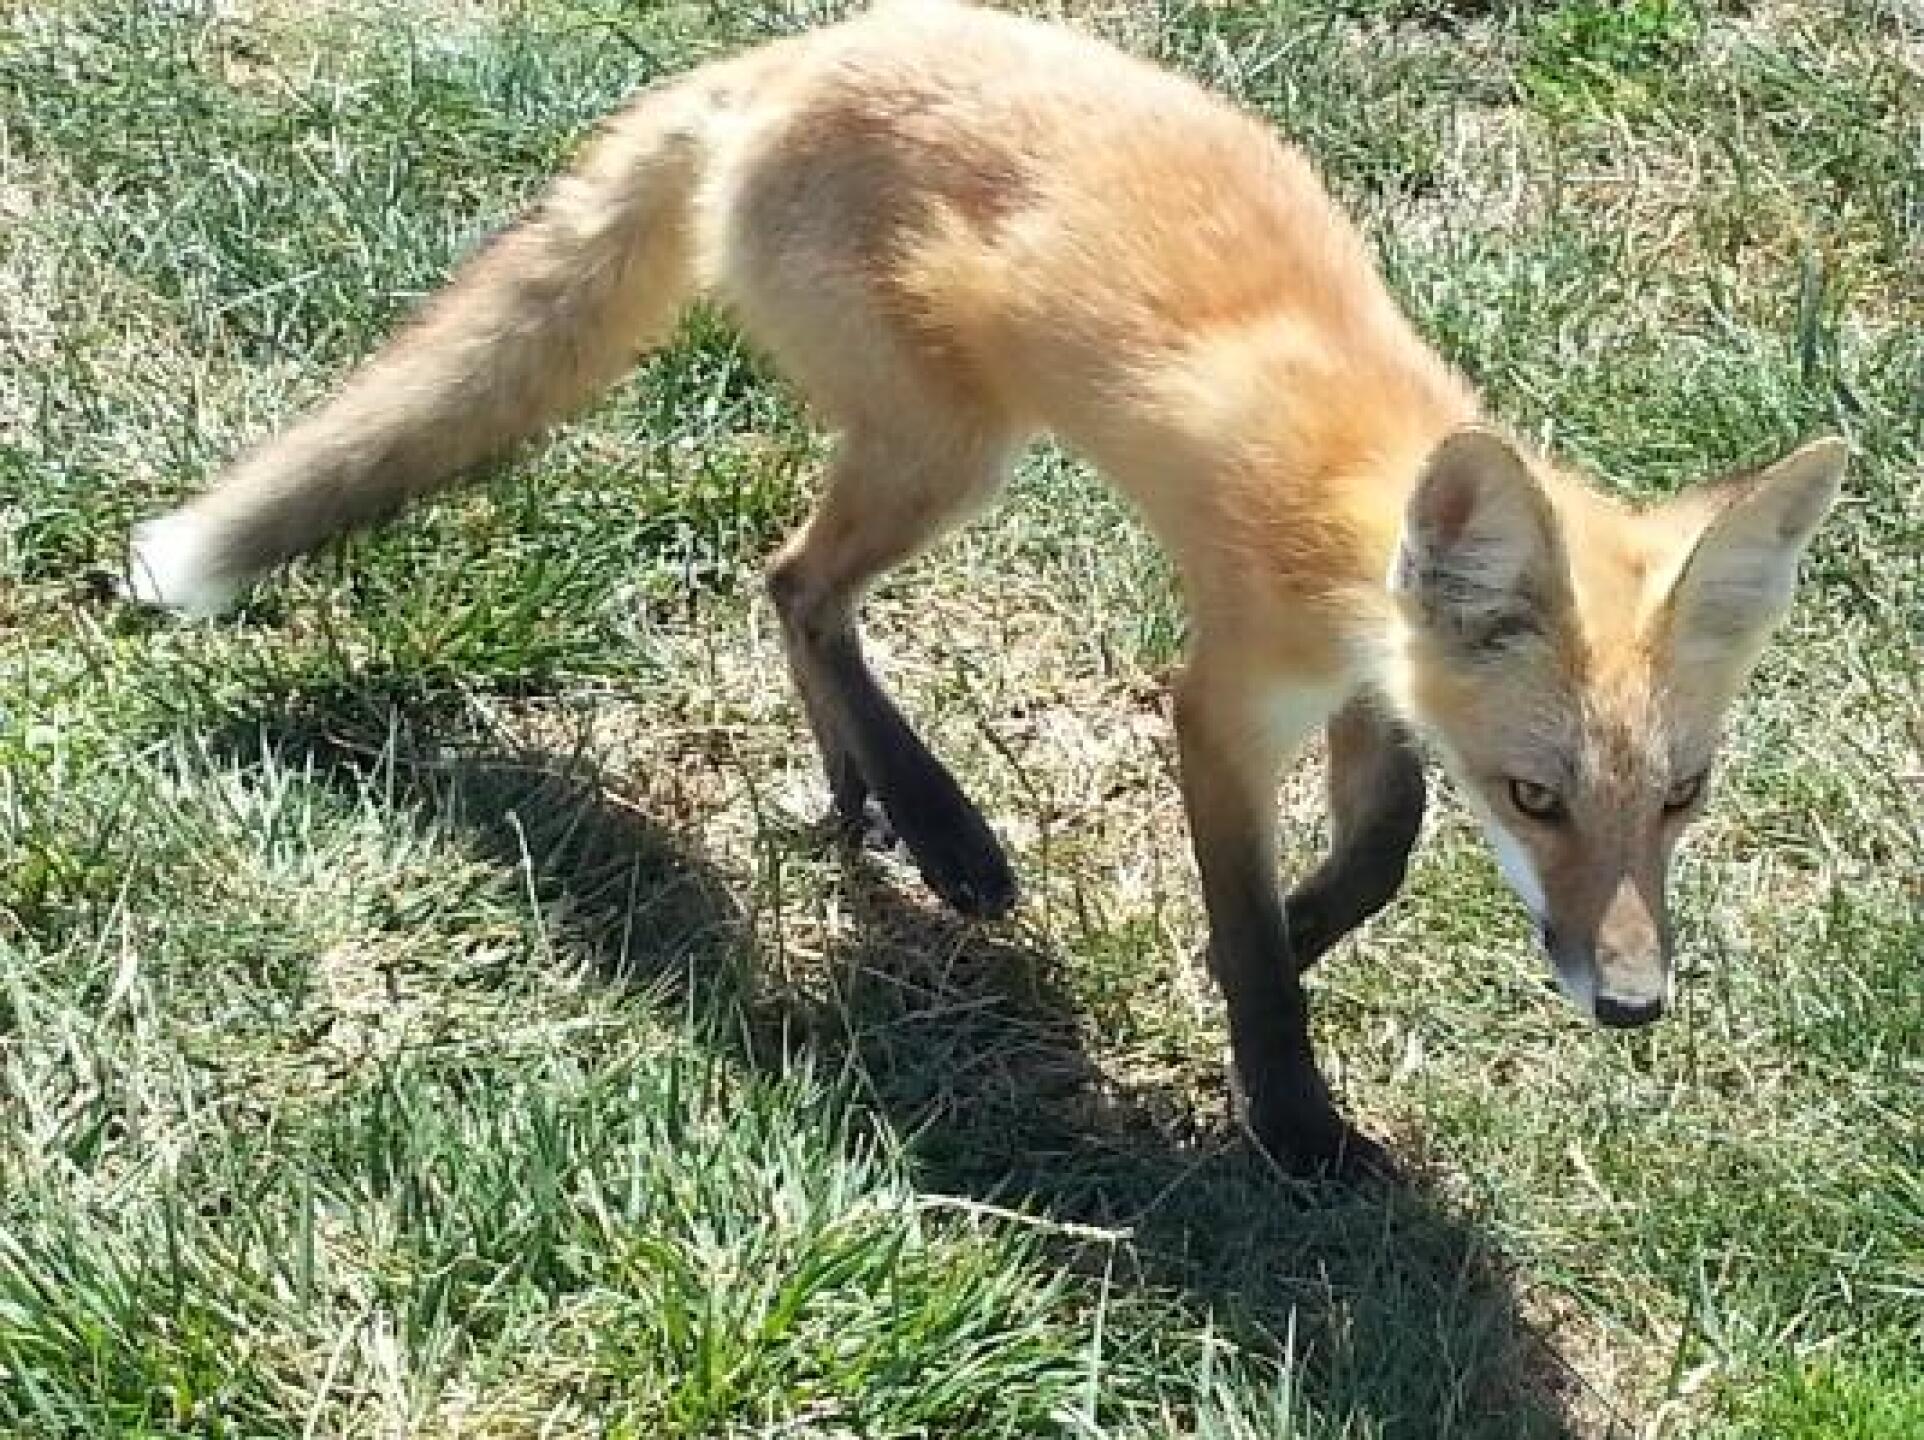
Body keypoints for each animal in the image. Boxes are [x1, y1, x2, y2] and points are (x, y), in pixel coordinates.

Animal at [125, 0, 1846, 1175]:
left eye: (1681, 797)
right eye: (1541, 800)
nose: (1633, 1007)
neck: (1357, 482)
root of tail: (778, 63)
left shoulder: (1374, 683)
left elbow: (1381, 851)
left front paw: (1299, 930)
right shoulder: (1225, 697)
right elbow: (1256, 933)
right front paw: (1286, 1106)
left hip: (927, 453)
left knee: (797, 597)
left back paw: (868, 801)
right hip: (953, 452)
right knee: (794, 581)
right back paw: (943, 828)